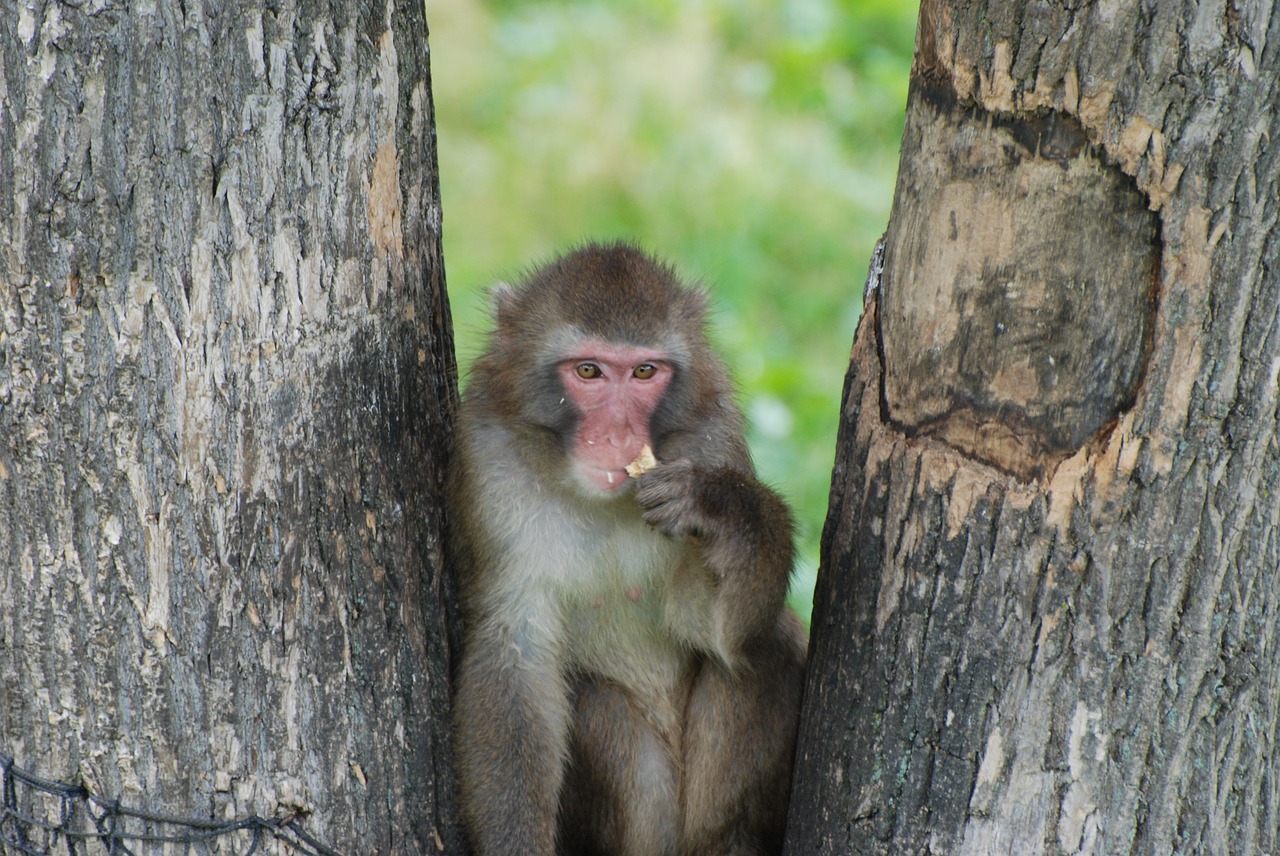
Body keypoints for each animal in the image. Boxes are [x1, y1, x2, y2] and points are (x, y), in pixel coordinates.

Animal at [450, 240, 803, 854]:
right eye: (588, 370)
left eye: (644, 371)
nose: (618, 435)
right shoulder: (489, 458)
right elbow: (515, 651)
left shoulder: (714, 434)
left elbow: (714, 627)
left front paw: (715, 503)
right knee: (591, 697)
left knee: (768, 643)